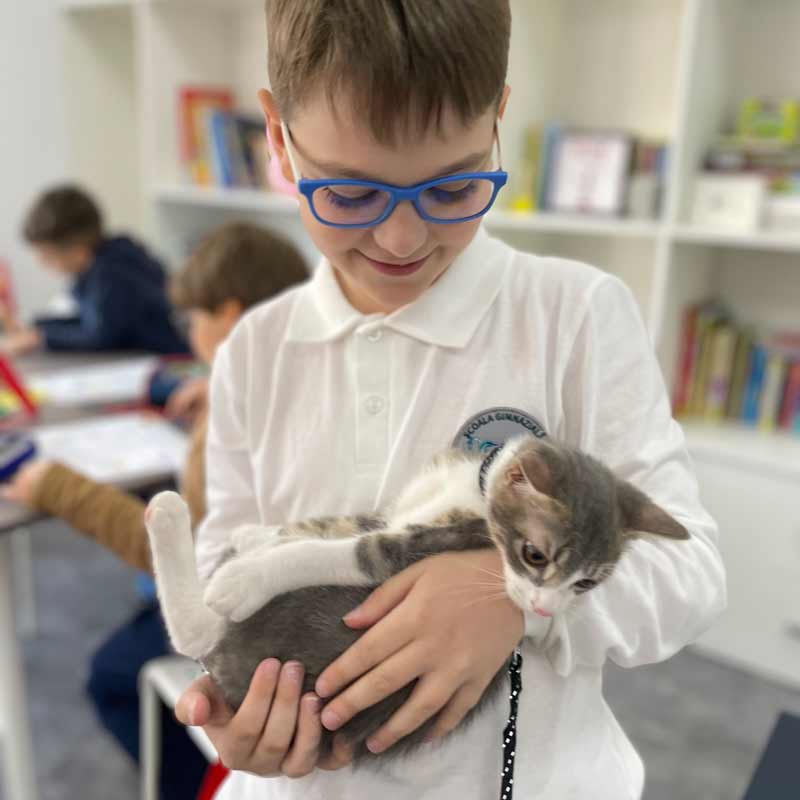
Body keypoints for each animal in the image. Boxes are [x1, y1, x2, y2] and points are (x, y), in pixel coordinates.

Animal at [144, 433, 688, 765]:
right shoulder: (396, 512)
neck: (475, 491)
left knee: (194, 631)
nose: (543, 610)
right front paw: (263, 535)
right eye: (535, 555)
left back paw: (169, 518)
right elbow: (338, 523)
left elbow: (341, 550)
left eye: (585, 585)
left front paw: (249, 573)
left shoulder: (417, 545)